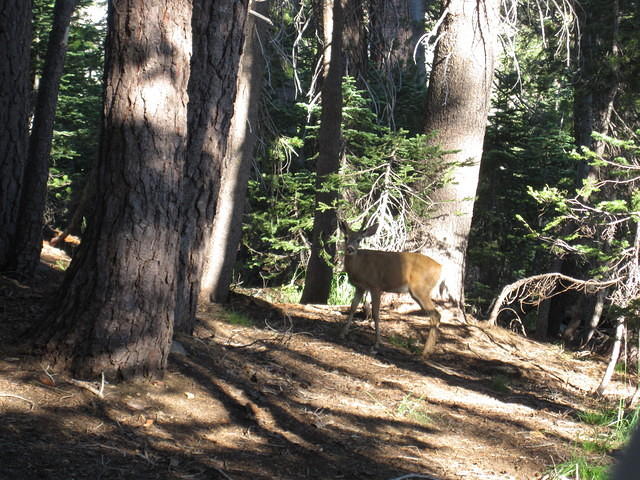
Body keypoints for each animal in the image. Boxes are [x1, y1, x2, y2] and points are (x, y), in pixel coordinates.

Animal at [338, 219, 442, 358]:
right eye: (346, 237)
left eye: (359, 240)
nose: (350, 249)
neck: (359, 266)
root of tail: (440, 268)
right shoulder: (360, 287)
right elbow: (353, 307)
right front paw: (342, 333)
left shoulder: (375, 285)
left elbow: (376, 313)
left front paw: (377, 343)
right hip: (418, 292)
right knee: (436, 315)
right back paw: (428, 351)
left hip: (420, 289)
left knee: (435, 315)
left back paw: (424, 353)